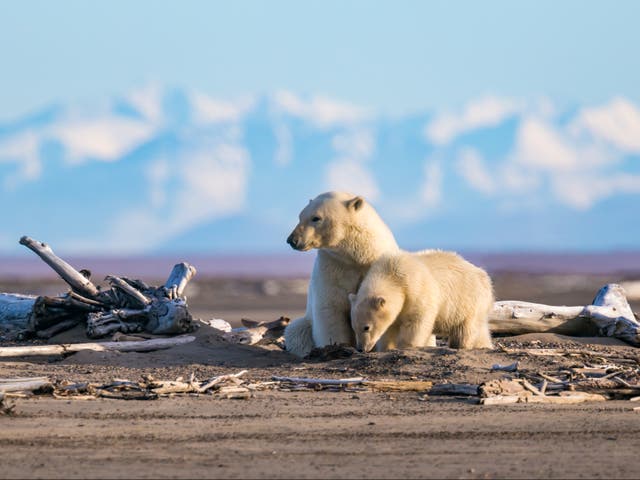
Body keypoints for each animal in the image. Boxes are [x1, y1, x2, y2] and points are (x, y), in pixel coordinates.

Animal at [284, 191, 400, 356]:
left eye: (316, 218)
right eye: (300, 216)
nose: (292, 240)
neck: (358, 256)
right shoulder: (332, 266)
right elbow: (331, 309)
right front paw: (337, 346)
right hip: (305, 323)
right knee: (296, 331)